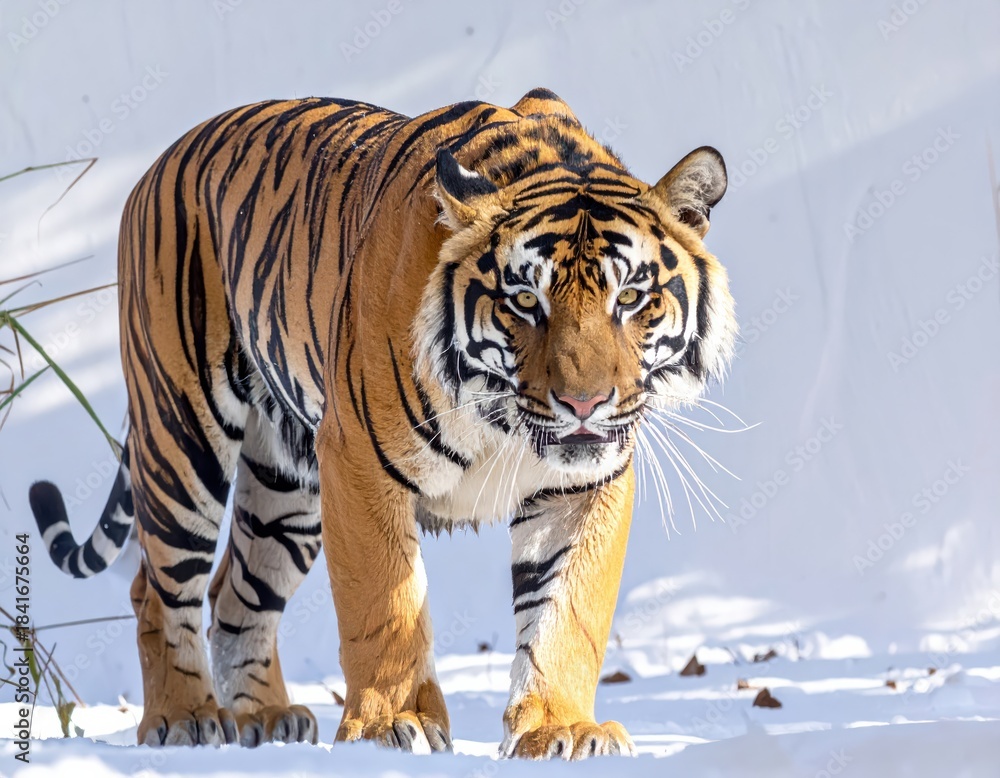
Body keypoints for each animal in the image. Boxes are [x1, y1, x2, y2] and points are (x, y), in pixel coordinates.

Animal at [29, 87, 736, 760]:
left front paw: (559, 729)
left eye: (631, 298)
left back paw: (263, 717)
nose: (584, 404)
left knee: (236, 590)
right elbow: (386, 605)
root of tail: (159, 162)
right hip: (182, 436)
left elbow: (568, 614)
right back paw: (184, 718)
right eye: (524, 300)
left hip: (288, 485)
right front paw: (391, 725)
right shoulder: (361, 462)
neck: (503, 416)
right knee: (159, 585)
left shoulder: (584, 485)